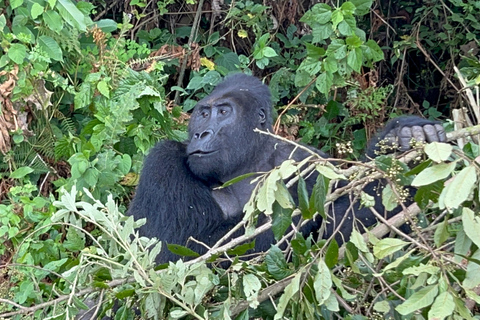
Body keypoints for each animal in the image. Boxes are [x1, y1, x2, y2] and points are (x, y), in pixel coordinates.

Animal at [127, 74, 446, 264]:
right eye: (203, 114)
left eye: (223, 112)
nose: (200, 133)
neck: (248, 163)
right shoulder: (162, 163)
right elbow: (168, 253)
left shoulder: (310, 161)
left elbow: (345, 234)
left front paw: (398, 143)